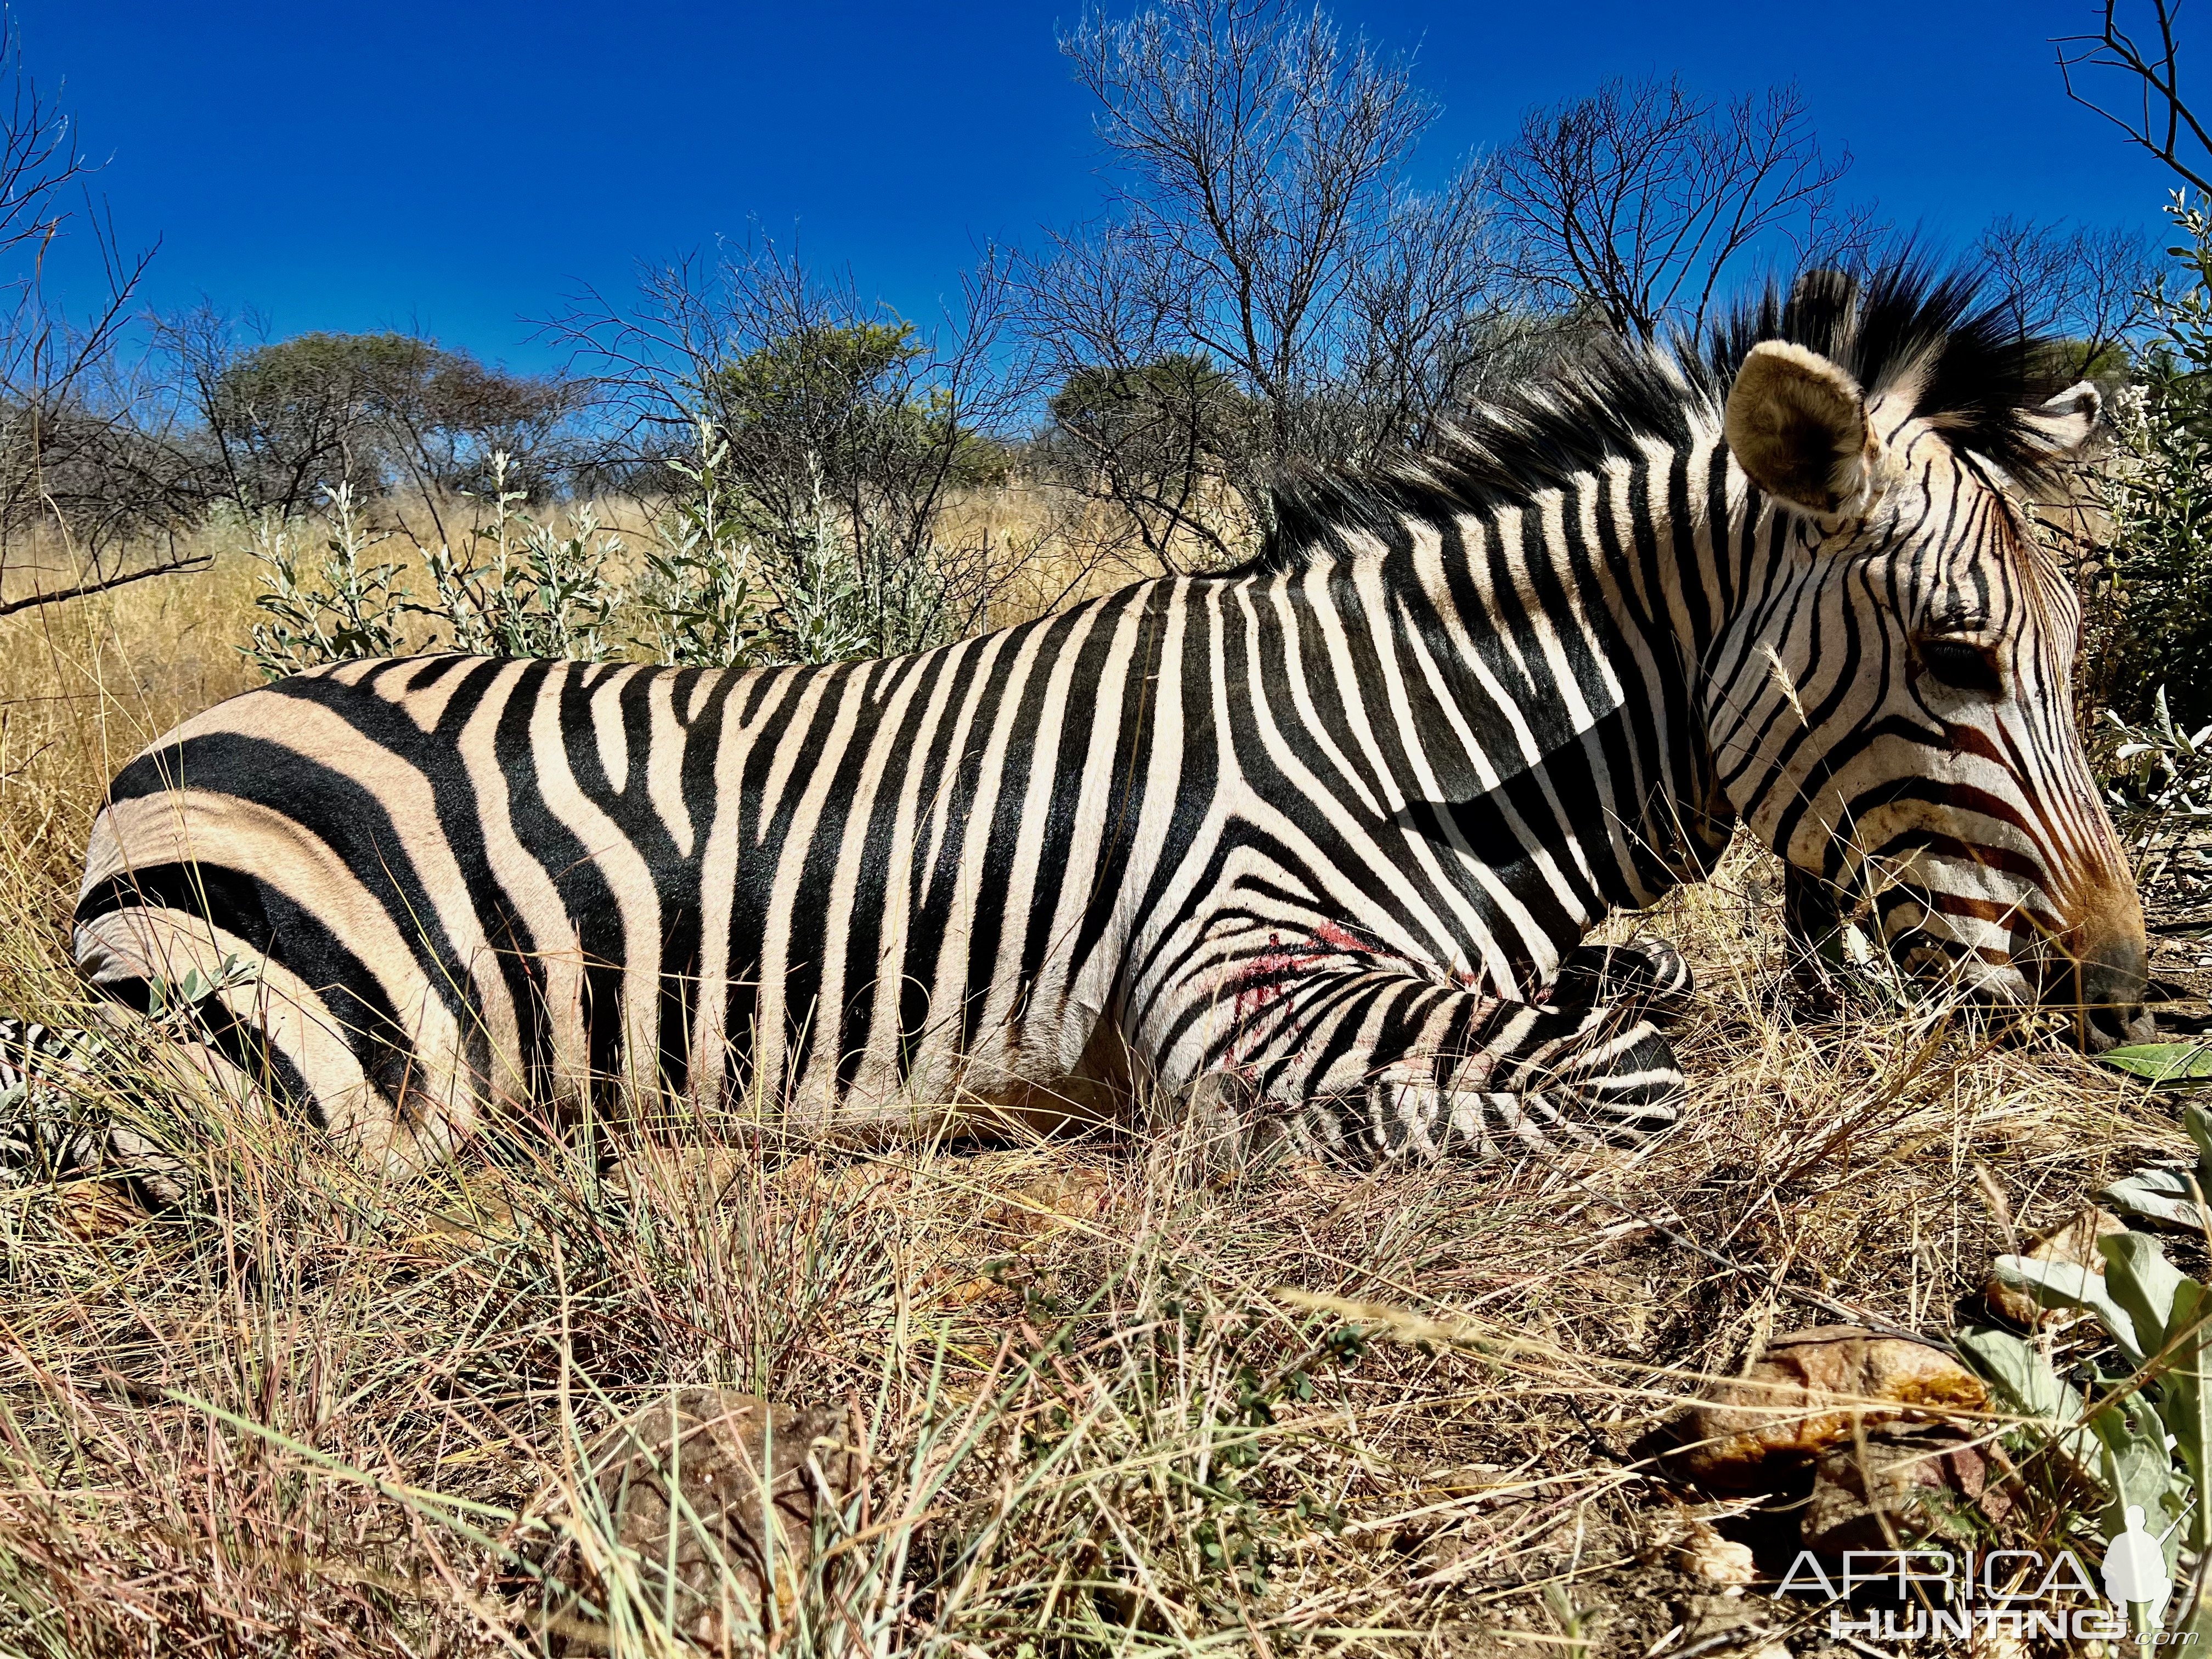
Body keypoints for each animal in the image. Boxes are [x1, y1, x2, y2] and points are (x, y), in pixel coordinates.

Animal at [30, 266, 2141, 1186]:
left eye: (2074, 658)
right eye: (1961, 657)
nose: (2121, 991)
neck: (1431, 743)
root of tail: (163, 752)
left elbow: (1644, 992)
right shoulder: (1225, 973)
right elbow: (1629, 1071)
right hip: (332, 1076)